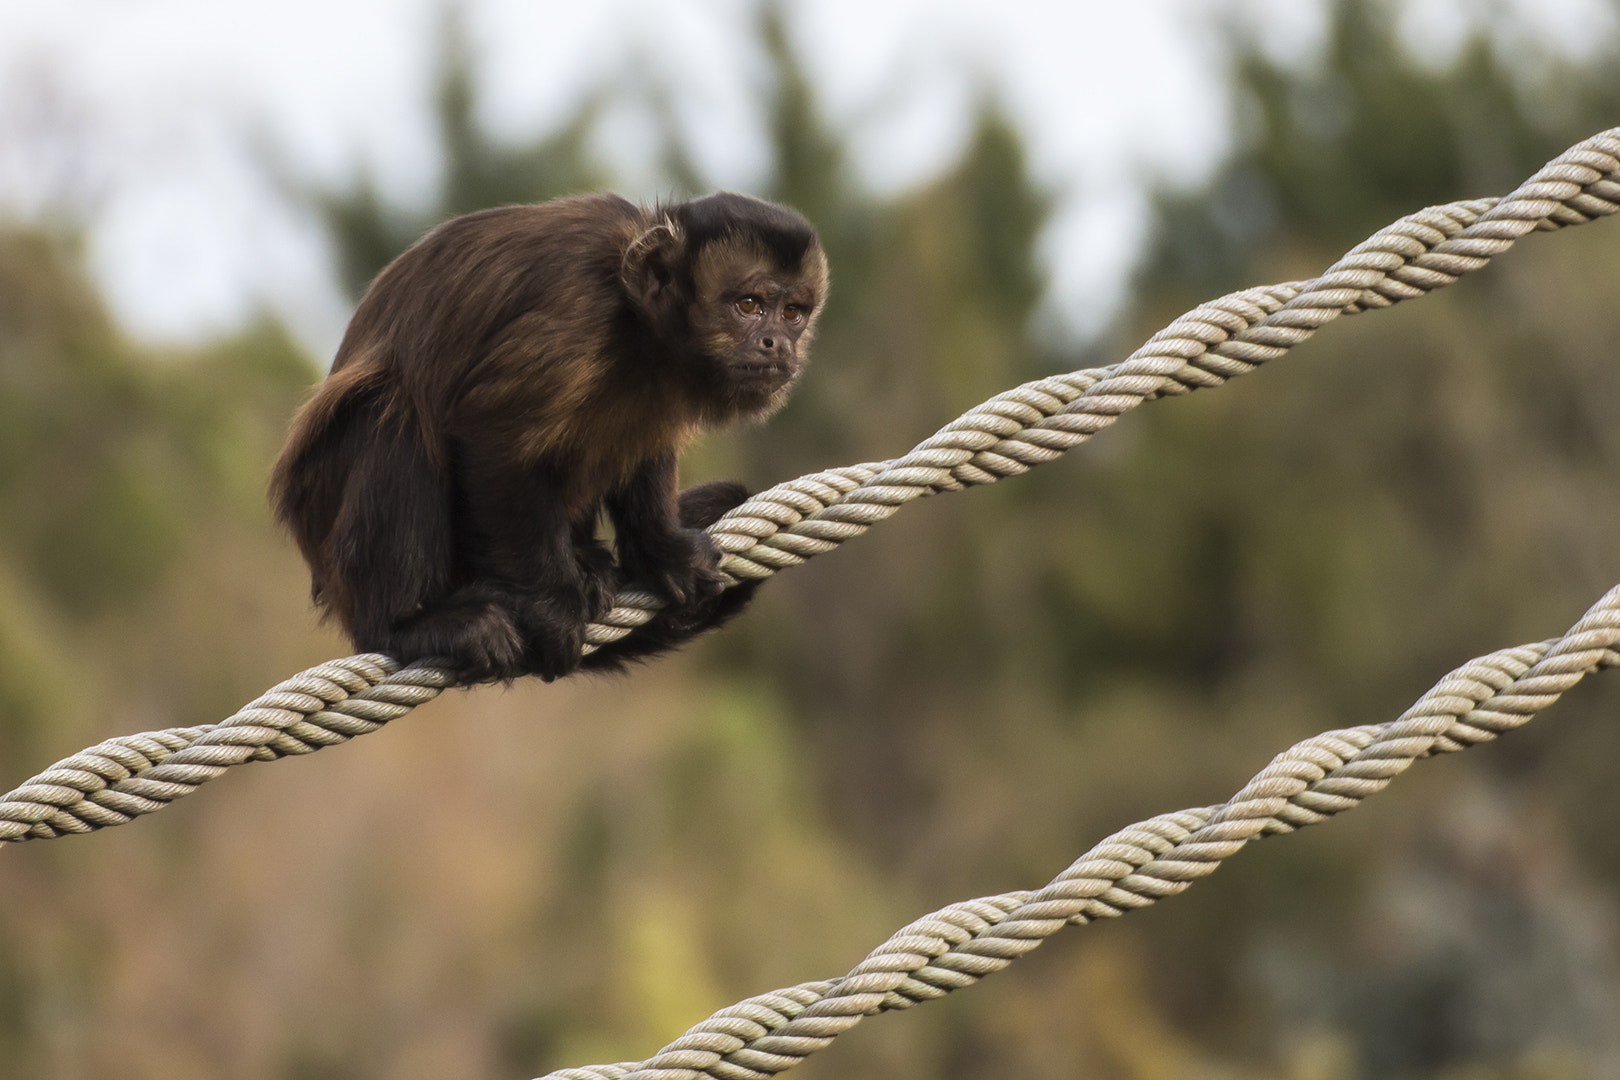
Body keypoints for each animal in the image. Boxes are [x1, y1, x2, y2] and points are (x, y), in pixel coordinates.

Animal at [269, 191, 827, 683]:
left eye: (792, 313)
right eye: (749, 305)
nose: (776, 343)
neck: (636, 320)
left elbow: (646, 445)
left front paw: (662, 550)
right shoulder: (576, 311)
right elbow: (491, 436)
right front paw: (553, 607)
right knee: (391, 413)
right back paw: (408, 622)